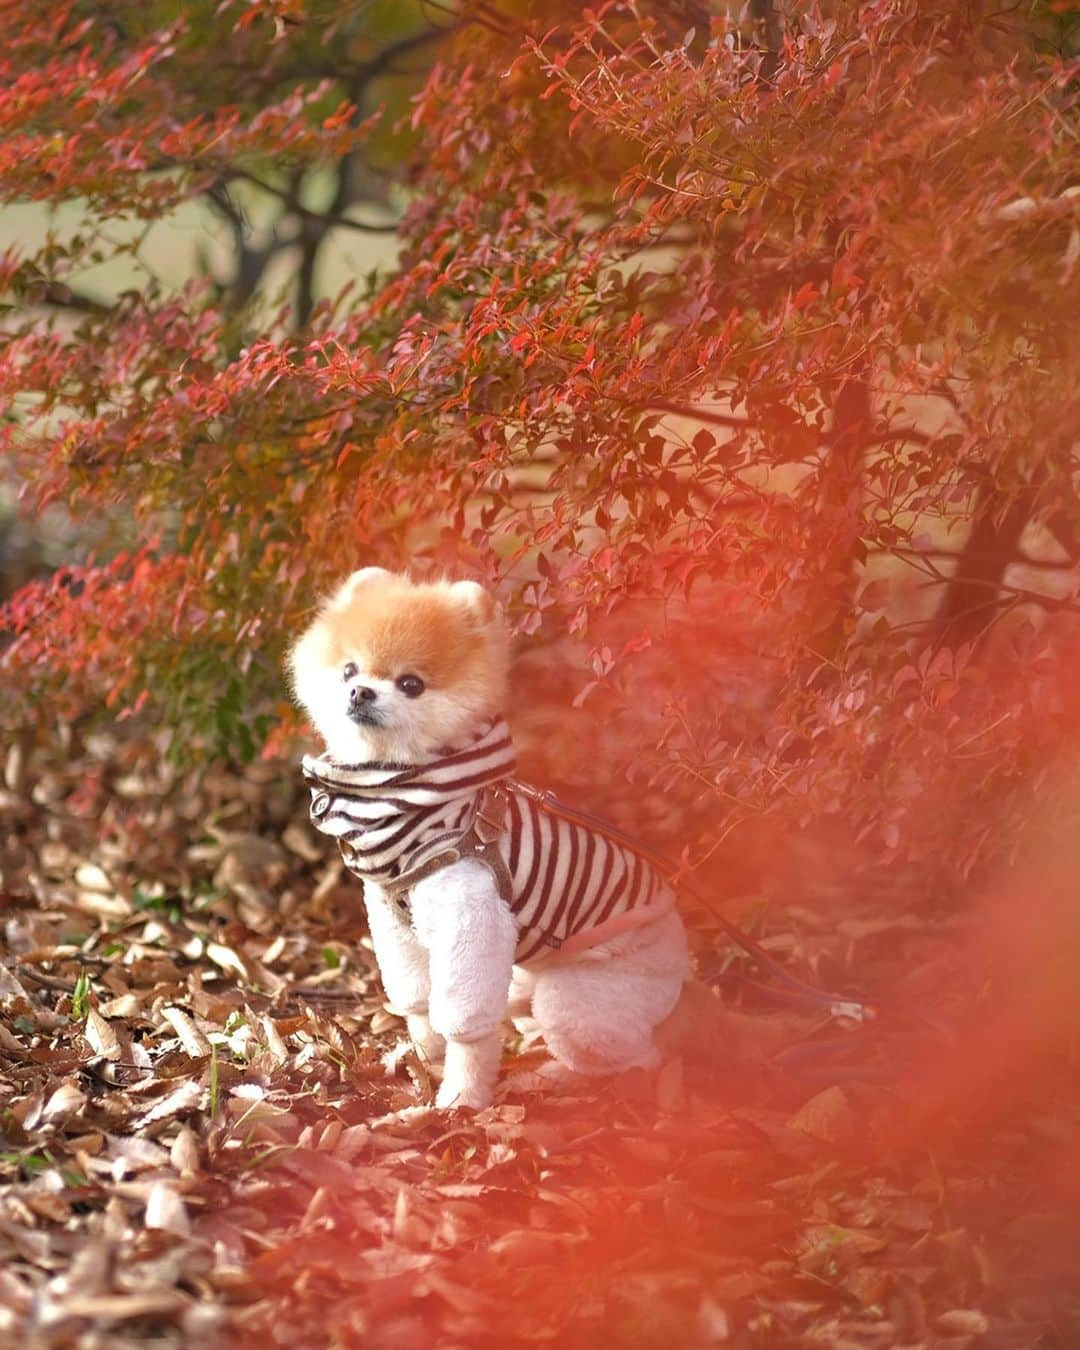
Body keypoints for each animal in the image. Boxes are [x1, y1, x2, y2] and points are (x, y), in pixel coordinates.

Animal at [291, 569, 688, 1107]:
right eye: (349, 670)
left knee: (632, 1053)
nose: (361, 693)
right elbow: (416, 998)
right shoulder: (391, 919)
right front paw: (423, 1054)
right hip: (525, 975)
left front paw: (462, 1095)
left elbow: (467, 1025)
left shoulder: (471, 917)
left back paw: (559, 1077)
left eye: (410, 684)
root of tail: (678, 941)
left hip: (590, 998)